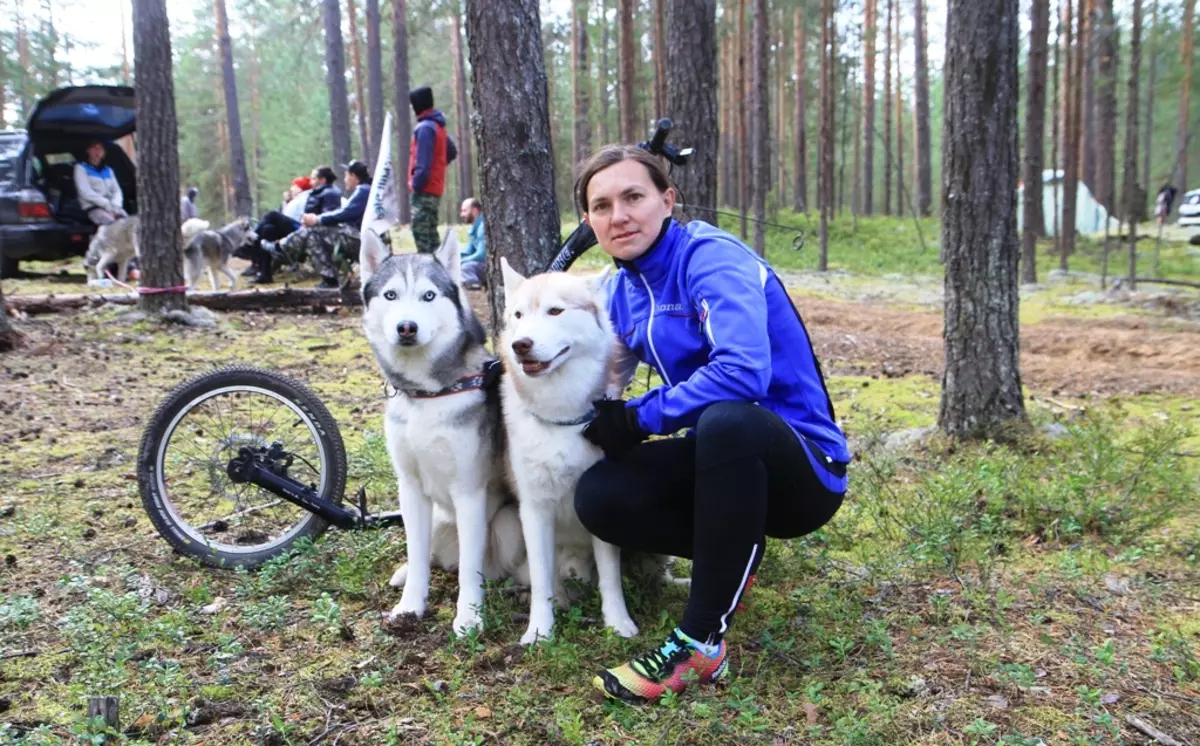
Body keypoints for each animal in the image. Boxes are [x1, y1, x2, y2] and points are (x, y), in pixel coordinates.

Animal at [355, 229, 525, 638]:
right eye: (391, 295)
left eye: (429, 296)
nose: (407, 327)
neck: (427, 396)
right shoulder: (410, 488)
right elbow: (417, 555)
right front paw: (408, 608)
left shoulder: (469, 490)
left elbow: (468, 570)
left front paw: (469, 617)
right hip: (435, 517)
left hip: (509, 523)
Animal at [496, 260, 643, 647]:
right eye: (518, 315)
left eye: (555, 311)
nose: (520, 345)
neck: (560, 418)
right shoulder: (534, 511)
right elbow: (541, 579)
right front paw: (539, 630)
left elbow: (611, 578)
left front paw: (618, 623)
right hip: (509, 526)